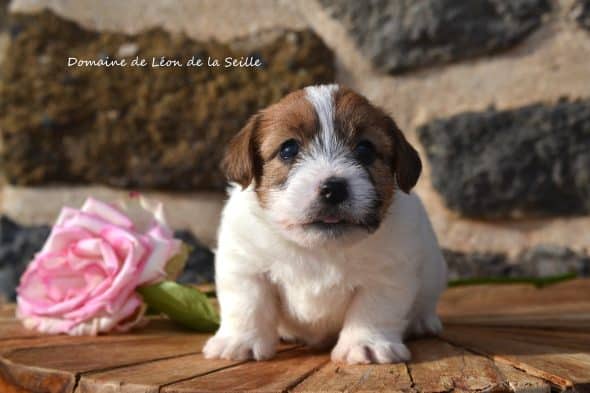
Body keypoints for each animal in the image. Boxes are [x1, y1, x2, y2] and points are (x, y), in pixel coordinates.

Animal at [205, 84, 448, 362]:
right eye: (288, 149)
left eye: (365, 149)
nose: (333, 189)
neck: (319, 249)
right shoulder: (246, 267)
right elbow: (247, 305)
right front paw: (239, 341)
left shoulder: (387, 275)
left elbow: (373, 310)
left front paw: (365, 343)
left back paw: (423, 321)